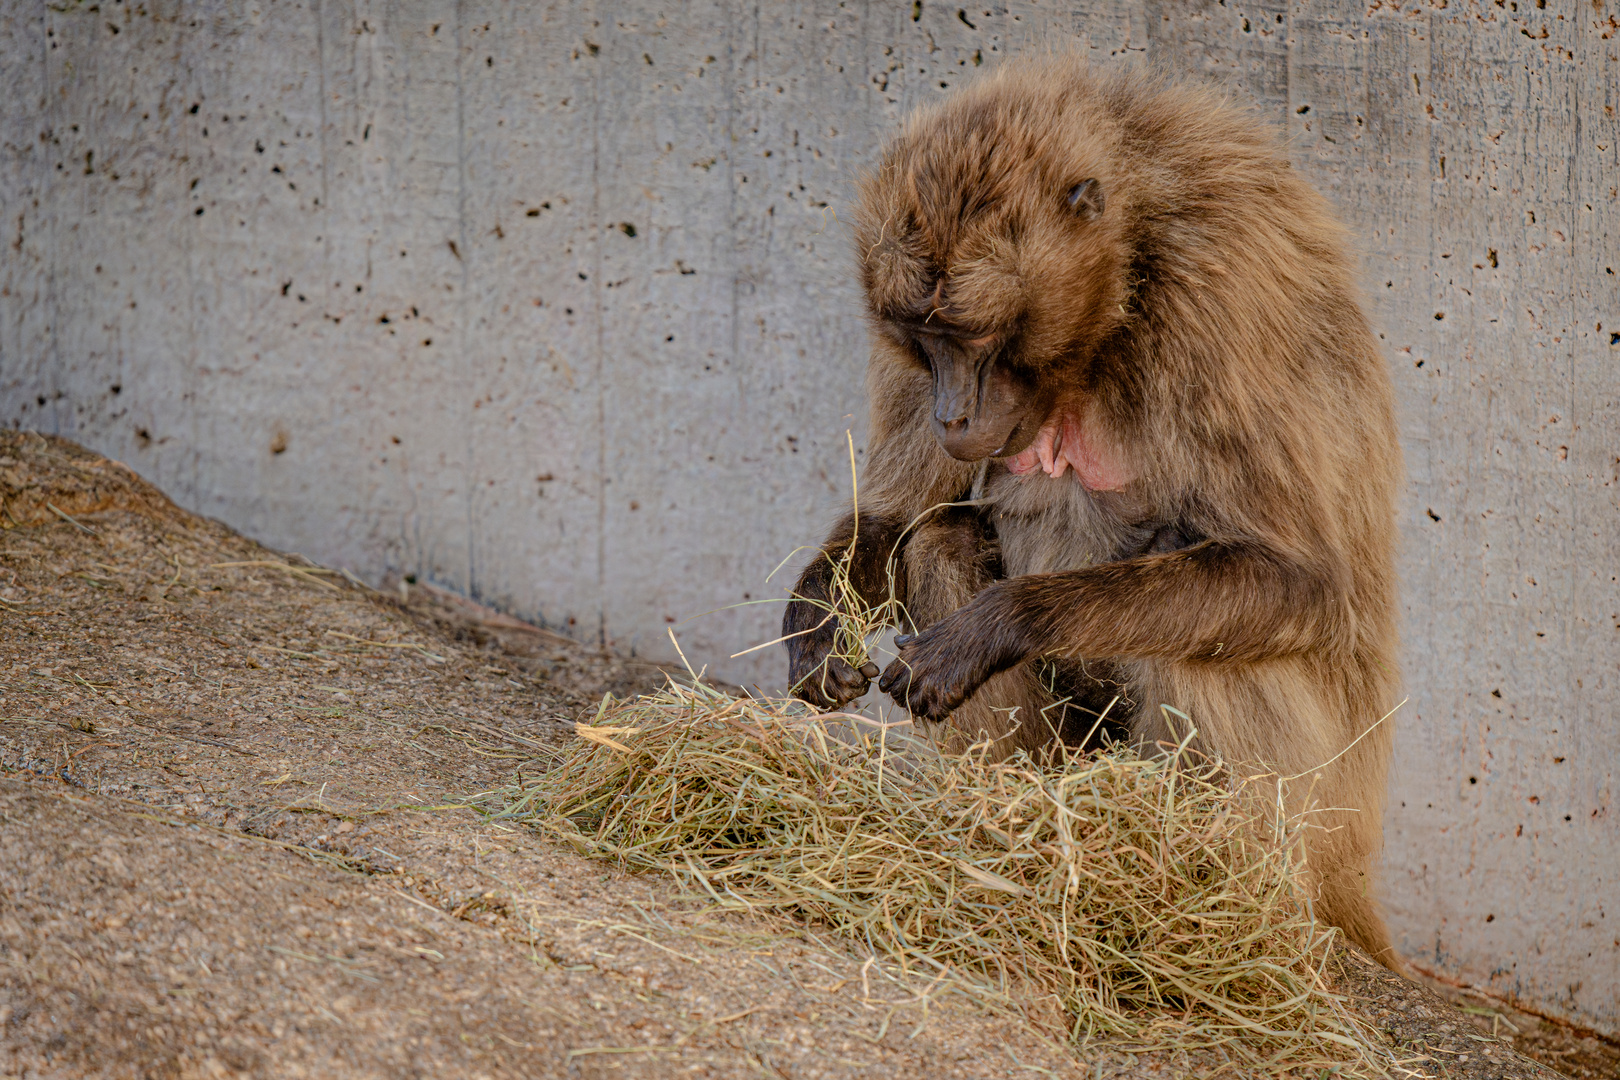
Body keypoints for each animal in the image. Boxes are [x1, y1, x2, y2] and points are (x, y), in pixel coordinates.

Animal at [784, 59, 1406, 958]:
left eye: (971, 334)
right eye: (924, 338)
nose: (951, 416)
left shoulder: (1219, 293)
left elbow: (1300, 579)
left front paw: (998, 624)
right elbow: (901, 517)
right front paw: (815, 624)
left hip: (1322, 811)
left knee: (1217, 638)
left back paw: (1205, 895)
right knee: (941, 543)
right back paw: (1014, 830)